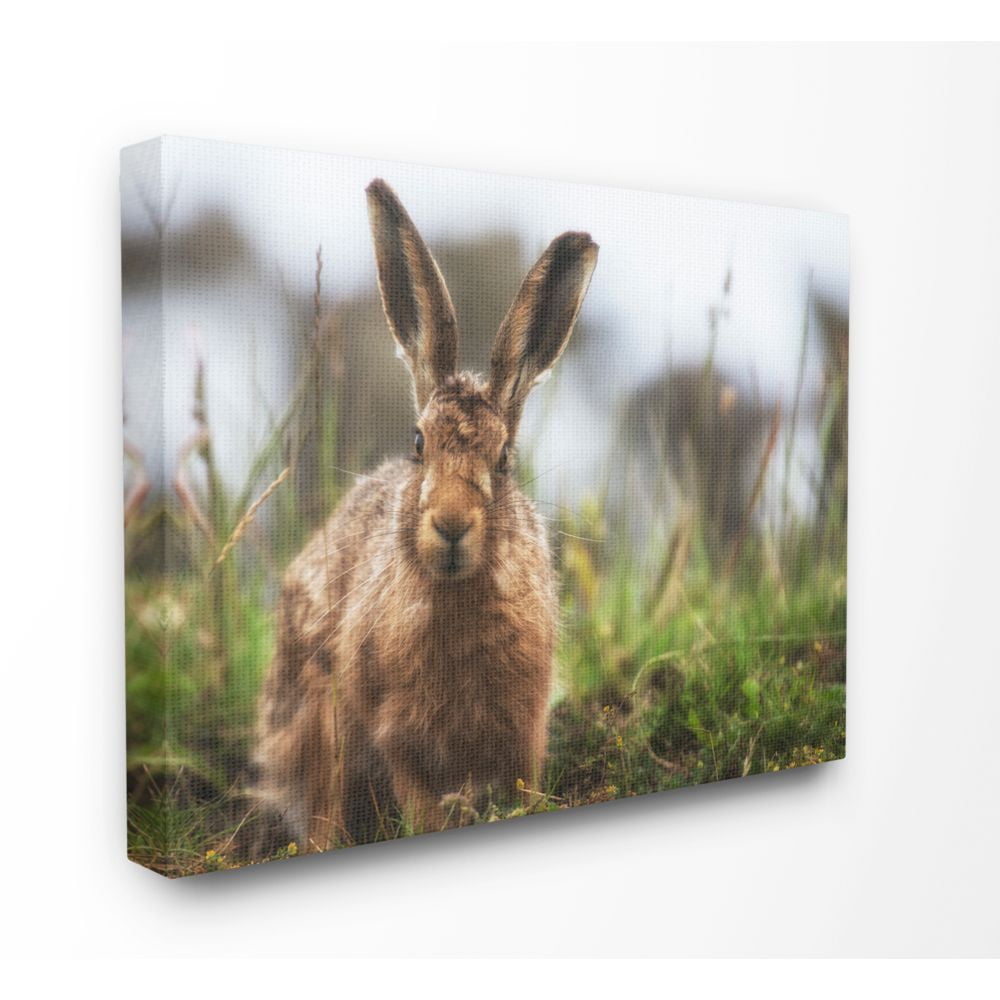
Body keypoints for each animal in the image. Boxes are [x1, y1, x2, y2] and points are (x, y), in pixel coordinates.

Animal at [254, 178, 598, 851]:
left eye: (505, 459)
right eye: (418, 444)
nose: (451, 524)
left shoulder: (524, 728)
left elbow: (527, 788)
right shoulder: (396, 736)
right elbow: (417, 805)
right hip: (316, 718)